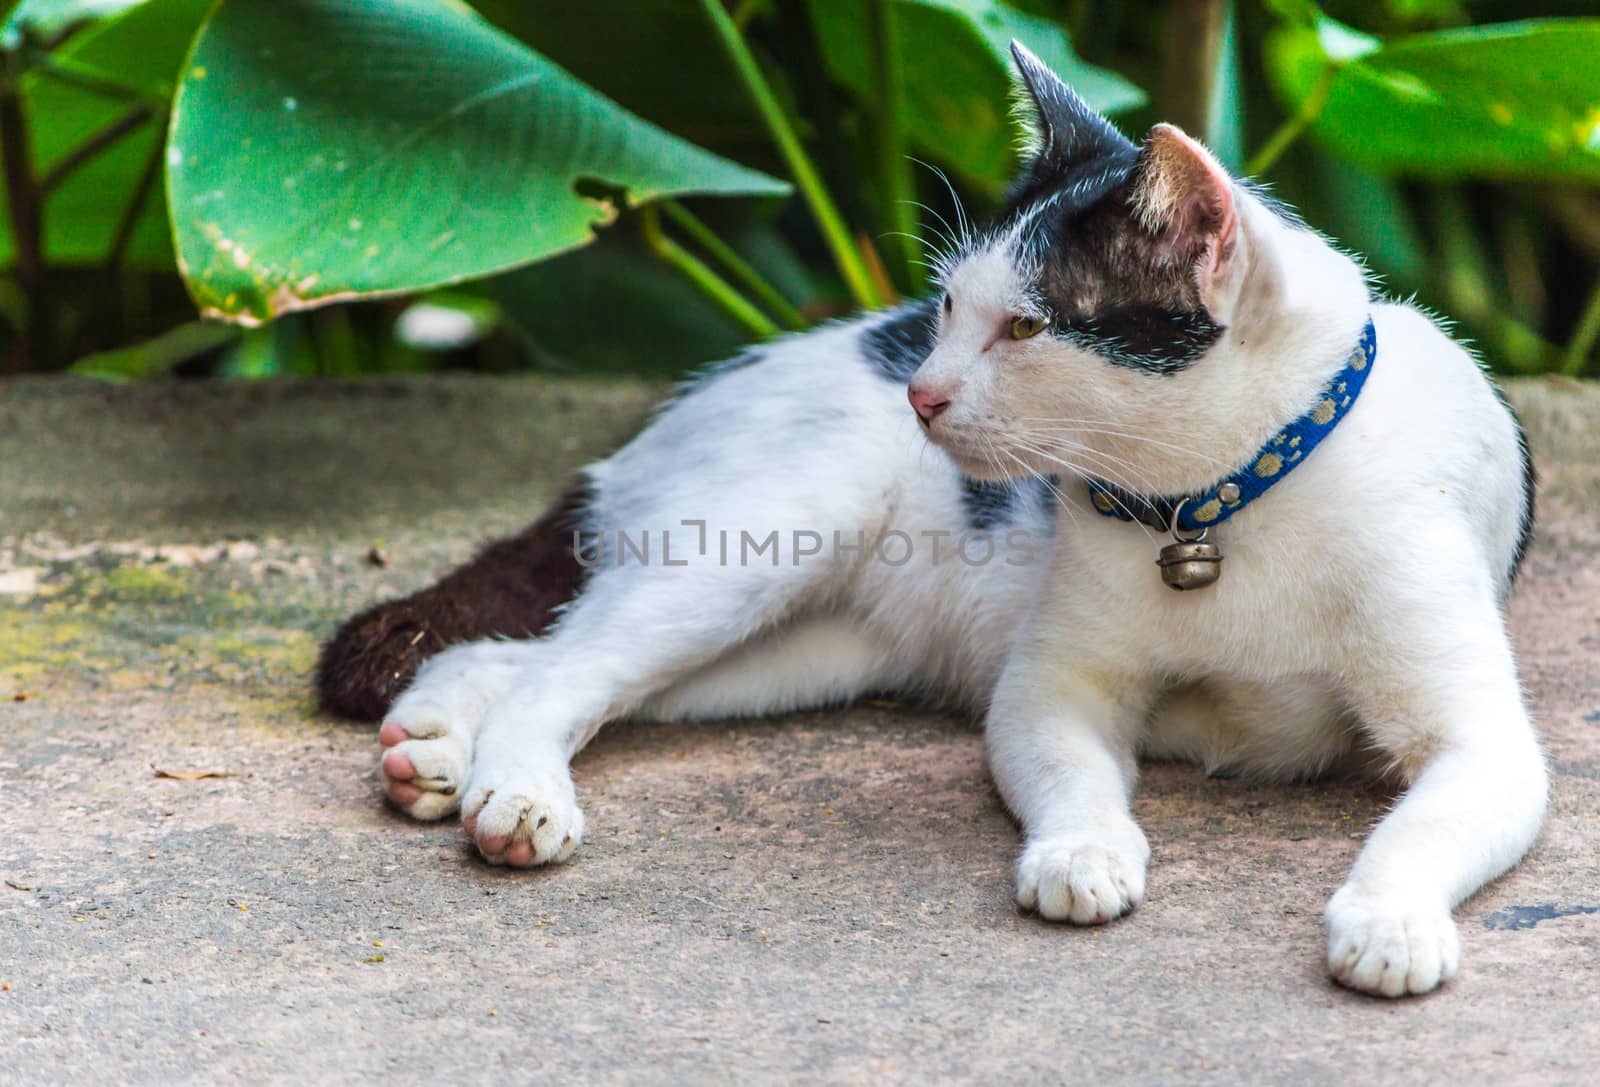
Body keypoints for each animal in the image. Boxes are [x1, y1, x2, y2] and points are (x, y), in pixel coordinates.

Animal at [318, 42, 1542, 998]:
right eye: (951, 307)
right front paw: (1082, 855)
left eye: (1028, 328)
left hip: (795, 653)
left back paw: (433, 750)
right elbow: (1073, 774)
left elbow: (1426, 819)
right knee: (561, 669)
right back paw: (513, 793)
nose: (922, 390)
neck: (1217, 506)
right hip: (758, 543)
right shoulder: (1049, 689)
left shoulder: (1486, 741)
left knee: (525, 654)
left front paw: (1389, 920)